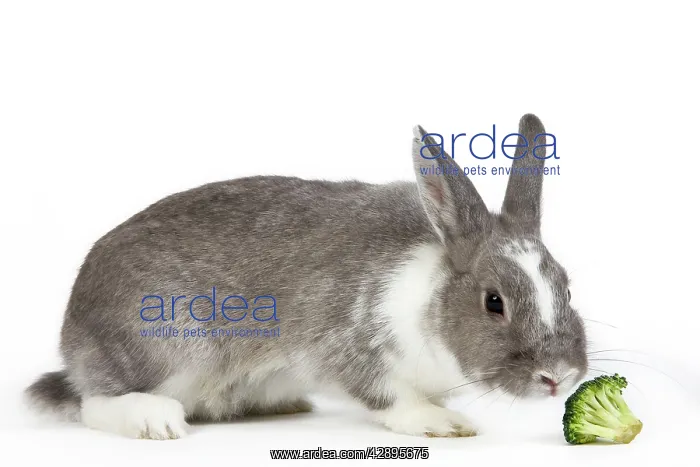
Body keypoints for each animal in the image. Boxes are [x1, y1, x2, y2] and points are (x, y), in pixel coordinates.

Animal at [25, 113, 588, 440]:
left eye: (566, 286)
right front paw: (443, 423)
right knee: (92, 401)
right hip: (167, 348)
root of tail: (74, 340)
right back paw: (154, 420)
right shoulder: (348, 349)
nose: (557, 376)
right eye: (494, 301)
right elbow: (391, 397)